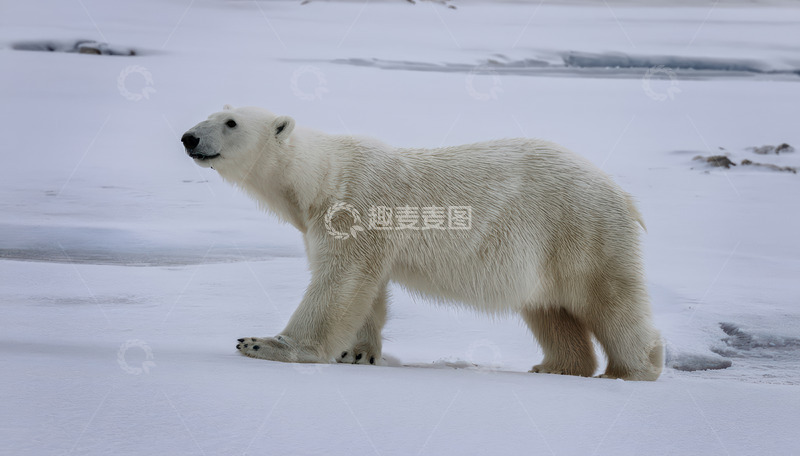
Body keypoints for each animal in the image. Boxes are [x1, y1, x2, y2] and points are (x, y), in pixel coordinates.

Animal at [181, 105, 663, 381]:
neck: (322, 177)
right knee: (550, 310)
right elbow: (366, 290)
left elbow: (340, 283)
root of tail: (623, 194)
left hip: (580, 229)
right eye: (210, 114)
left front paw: (263, 344)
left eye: (230, 122)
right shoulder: (329, 225)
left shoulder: (357, 207)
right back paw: (557, 366)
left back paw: (634, 370)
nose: (189, 137)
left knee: (611, 301)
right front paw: (357, 354)